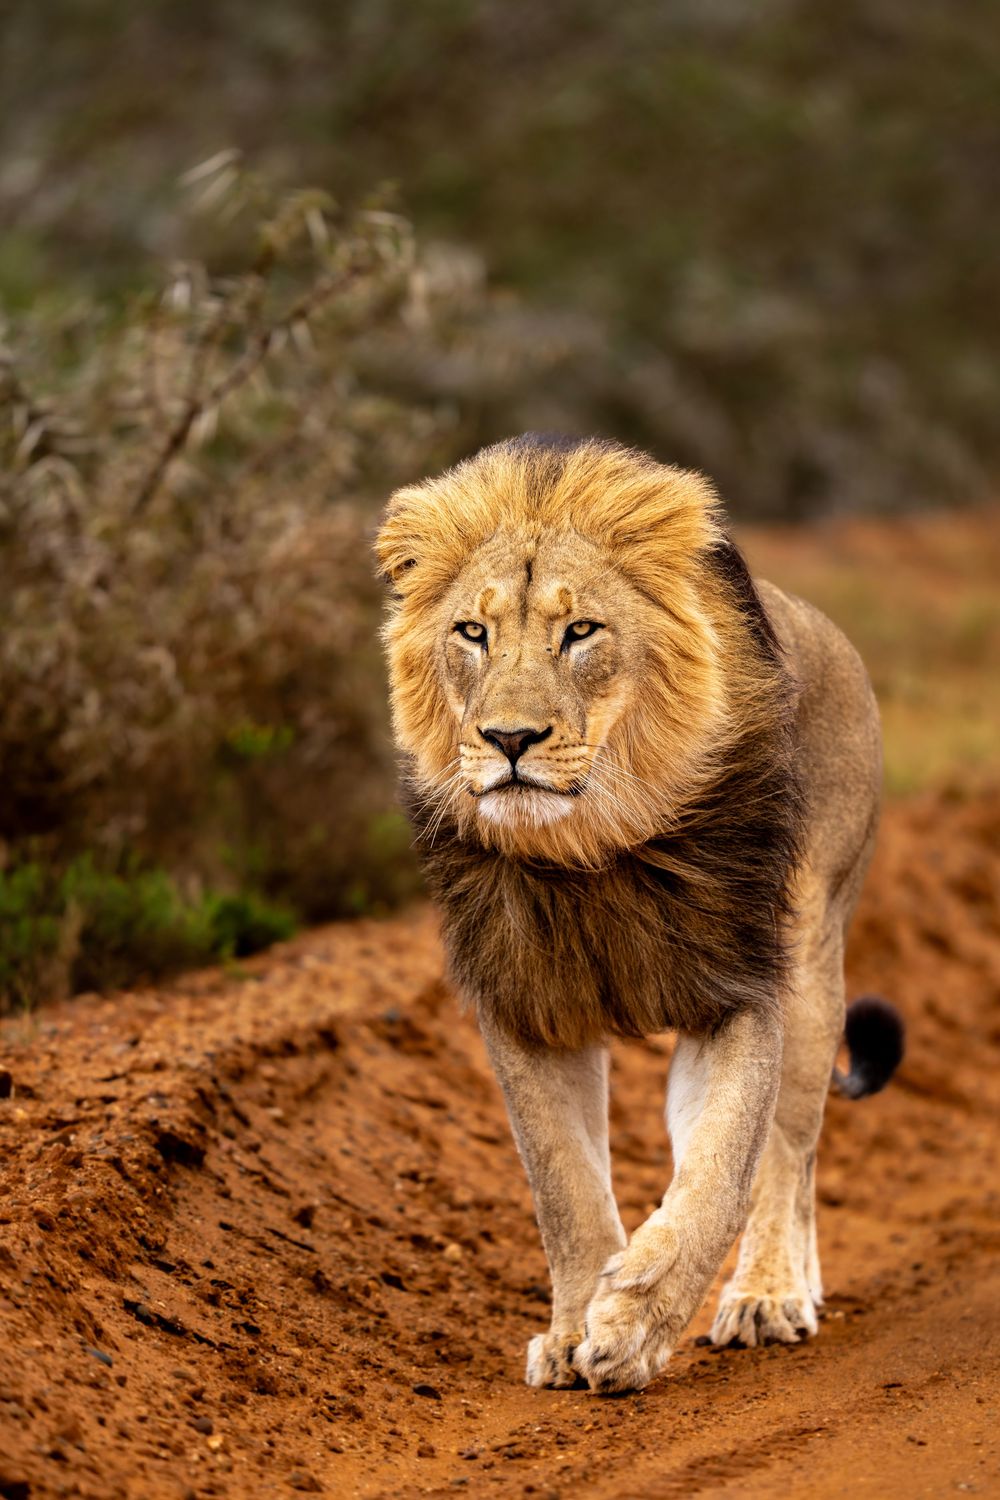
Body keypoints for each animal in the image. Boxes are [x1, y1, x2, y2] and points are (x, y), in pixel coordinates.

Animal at [376, 434, 903, 1393]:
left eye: (580, 631)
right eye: (472, 633)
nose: (510, 740)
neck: (592, 844)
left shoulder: (740, 986)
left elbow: (723, 1169)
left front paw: (634, 1323)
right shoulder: (525, 1005)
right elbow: (565, 1189)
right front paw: (573, 1332)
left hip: (814, 957)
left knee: (791, 1151)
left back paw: (771, 1293)